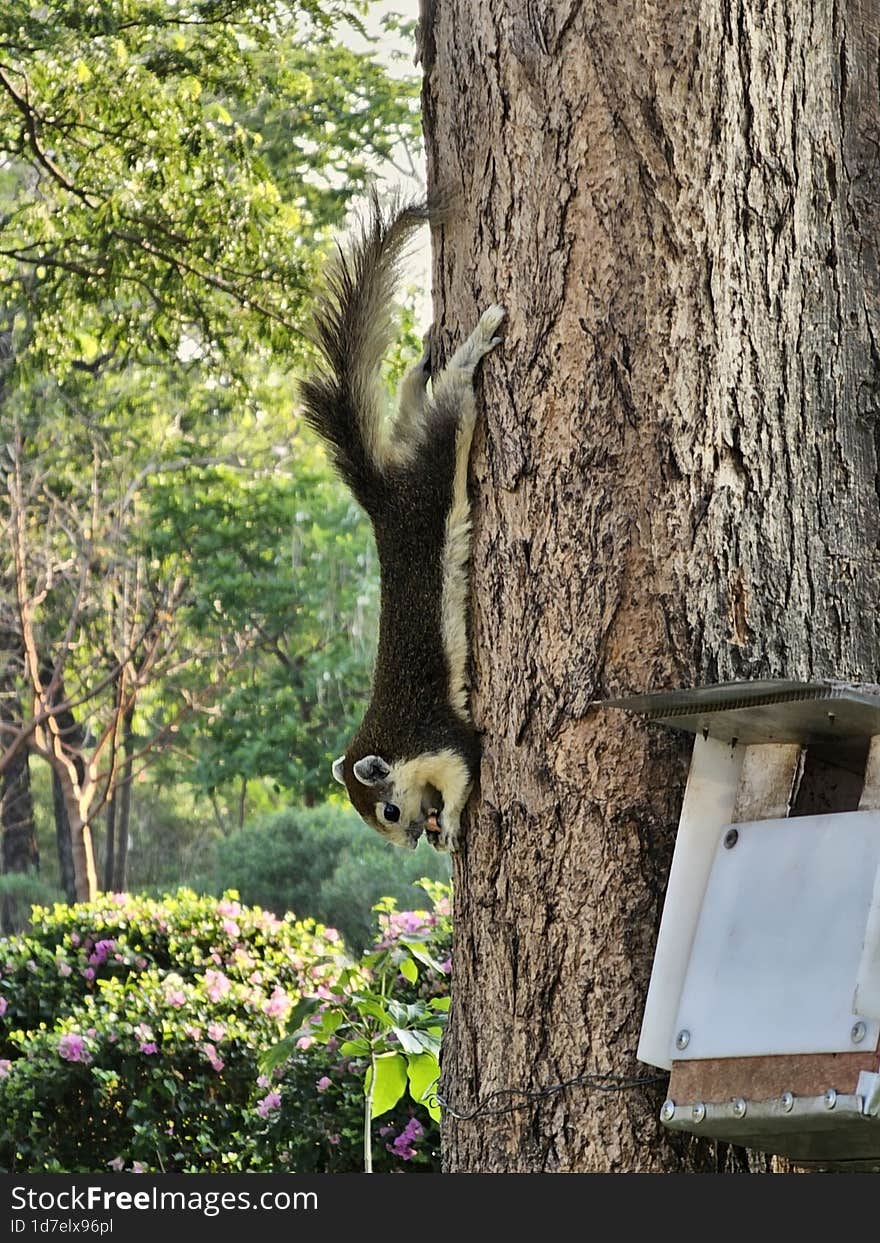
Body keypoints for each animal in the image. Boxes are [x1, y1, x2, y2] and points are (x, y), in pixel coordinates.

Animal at [300, 193, 504, 855]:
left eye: (387, 811)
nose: (412, 838)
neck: (393, 741)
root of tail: (385, 497)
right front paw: (443, 827)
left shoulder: (442, 740)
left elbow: (466, 772)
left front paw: (455, 822)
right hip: (418, 448)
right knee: (414, 404)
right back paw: (421, 361)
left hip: (437, 467)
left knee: (451, 402)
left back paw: (473, 342)